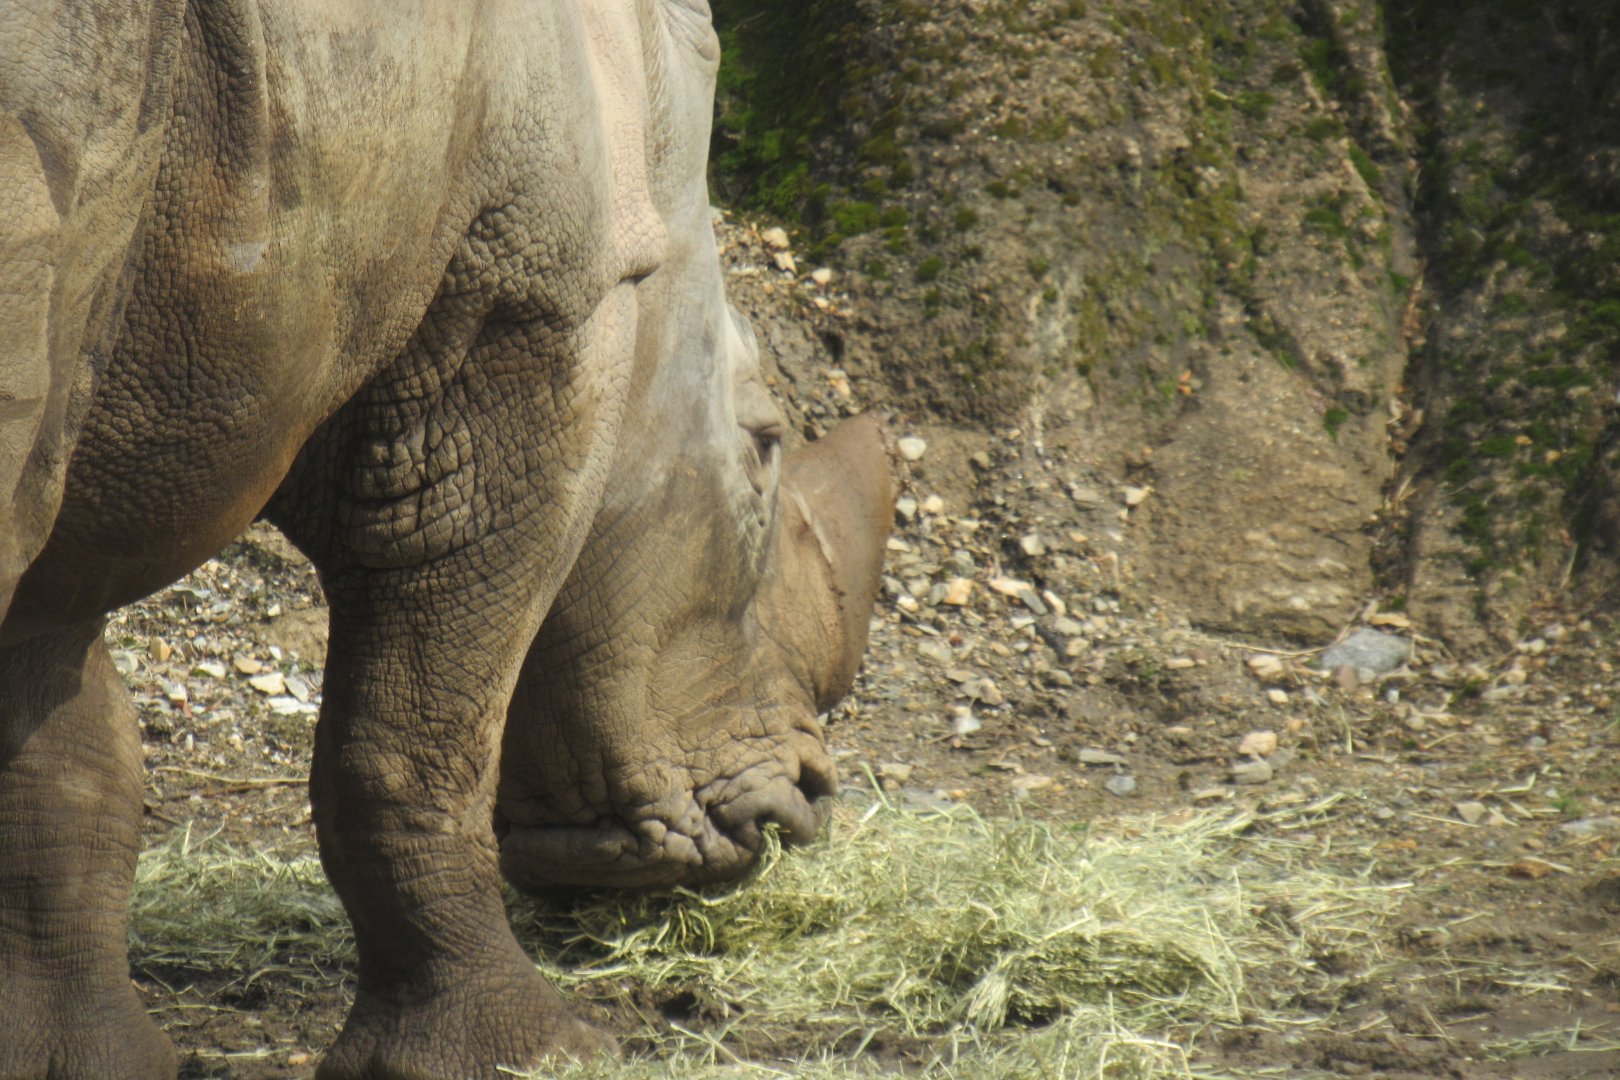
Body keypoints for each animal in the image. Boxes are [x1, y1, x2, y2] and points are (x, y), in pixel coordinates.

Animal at [0, 2, 893, 1077]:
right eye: (763, 447)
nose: (809, 801)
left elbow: (62, 733)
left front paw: (75, 1056)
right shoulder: (536, 306)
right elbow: (423, 725)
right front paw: (532, 1052)